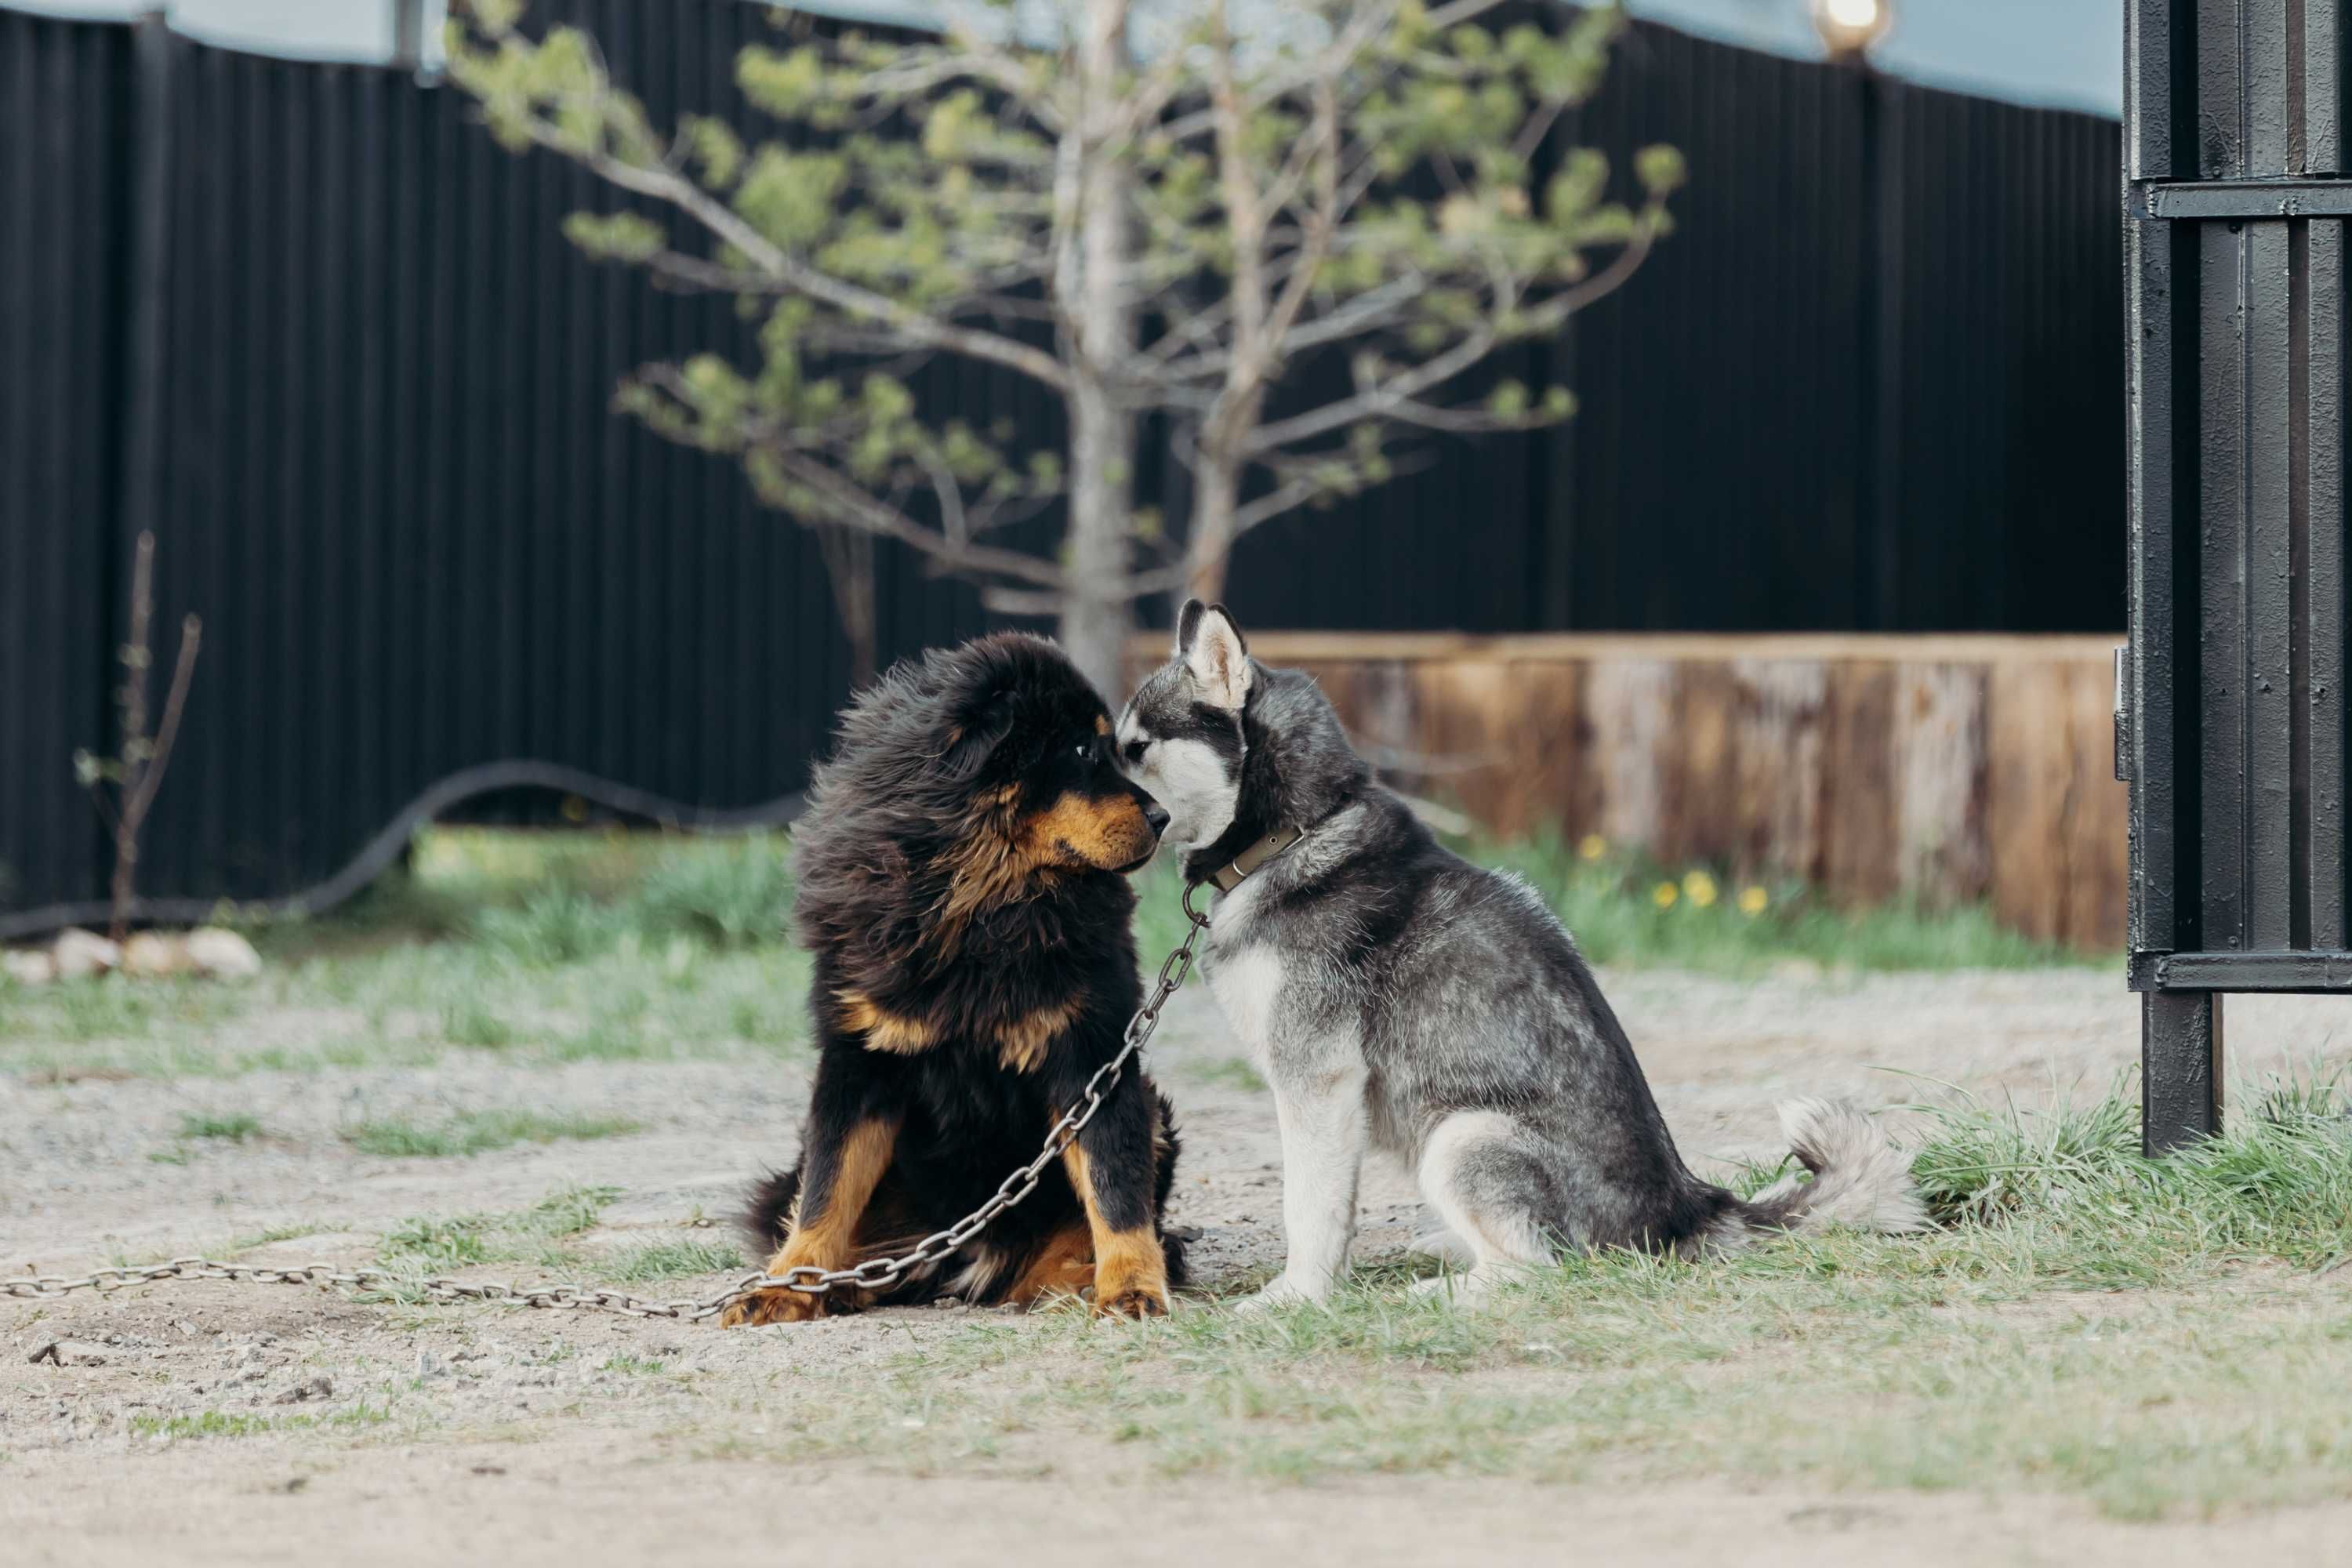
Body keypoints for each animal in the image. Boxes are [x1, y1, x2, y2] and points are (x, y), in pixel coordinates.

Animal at [720, 630, 1185, 1326]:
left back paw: (1072, 1277)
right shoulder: (859, 1060)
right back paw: (852, 1280)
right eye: (1081, 751)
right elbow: (827, 1187)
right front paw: (786, 1286)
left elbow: (1115, 1185)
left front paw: (1130, 1287)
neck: (984, 901)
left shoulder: (1093, 1057)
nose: (1162, 818)